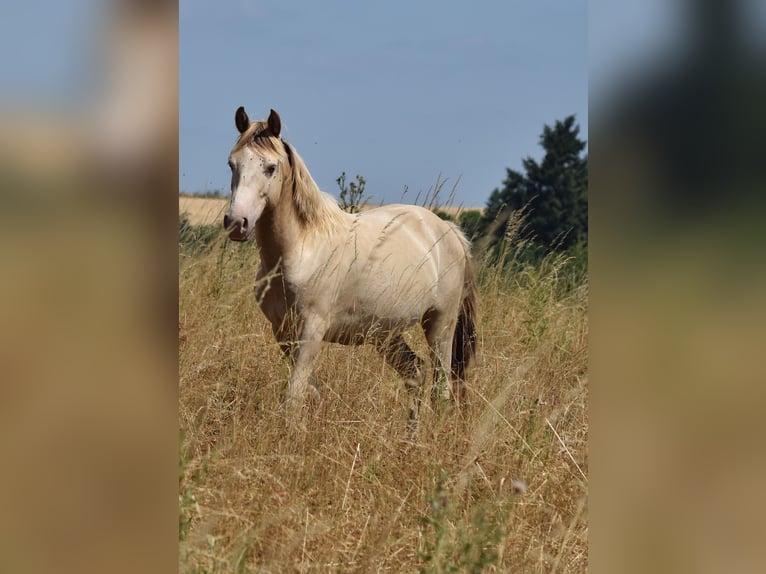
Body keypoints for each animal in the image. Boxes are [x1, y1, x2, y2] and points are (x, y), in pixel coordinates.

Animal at [223, 106, 477, 428]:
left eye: (270, 167)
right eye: (232, 164)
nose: (236, 223)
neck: (302, 249)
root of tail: (449, 231)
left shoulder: (311, 331)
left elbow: (293, 398)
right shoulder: (283, 332)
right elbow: (309, 393)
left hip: (440, 324)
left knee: (441, 390)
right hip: (385, 335)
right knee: (415, 375)